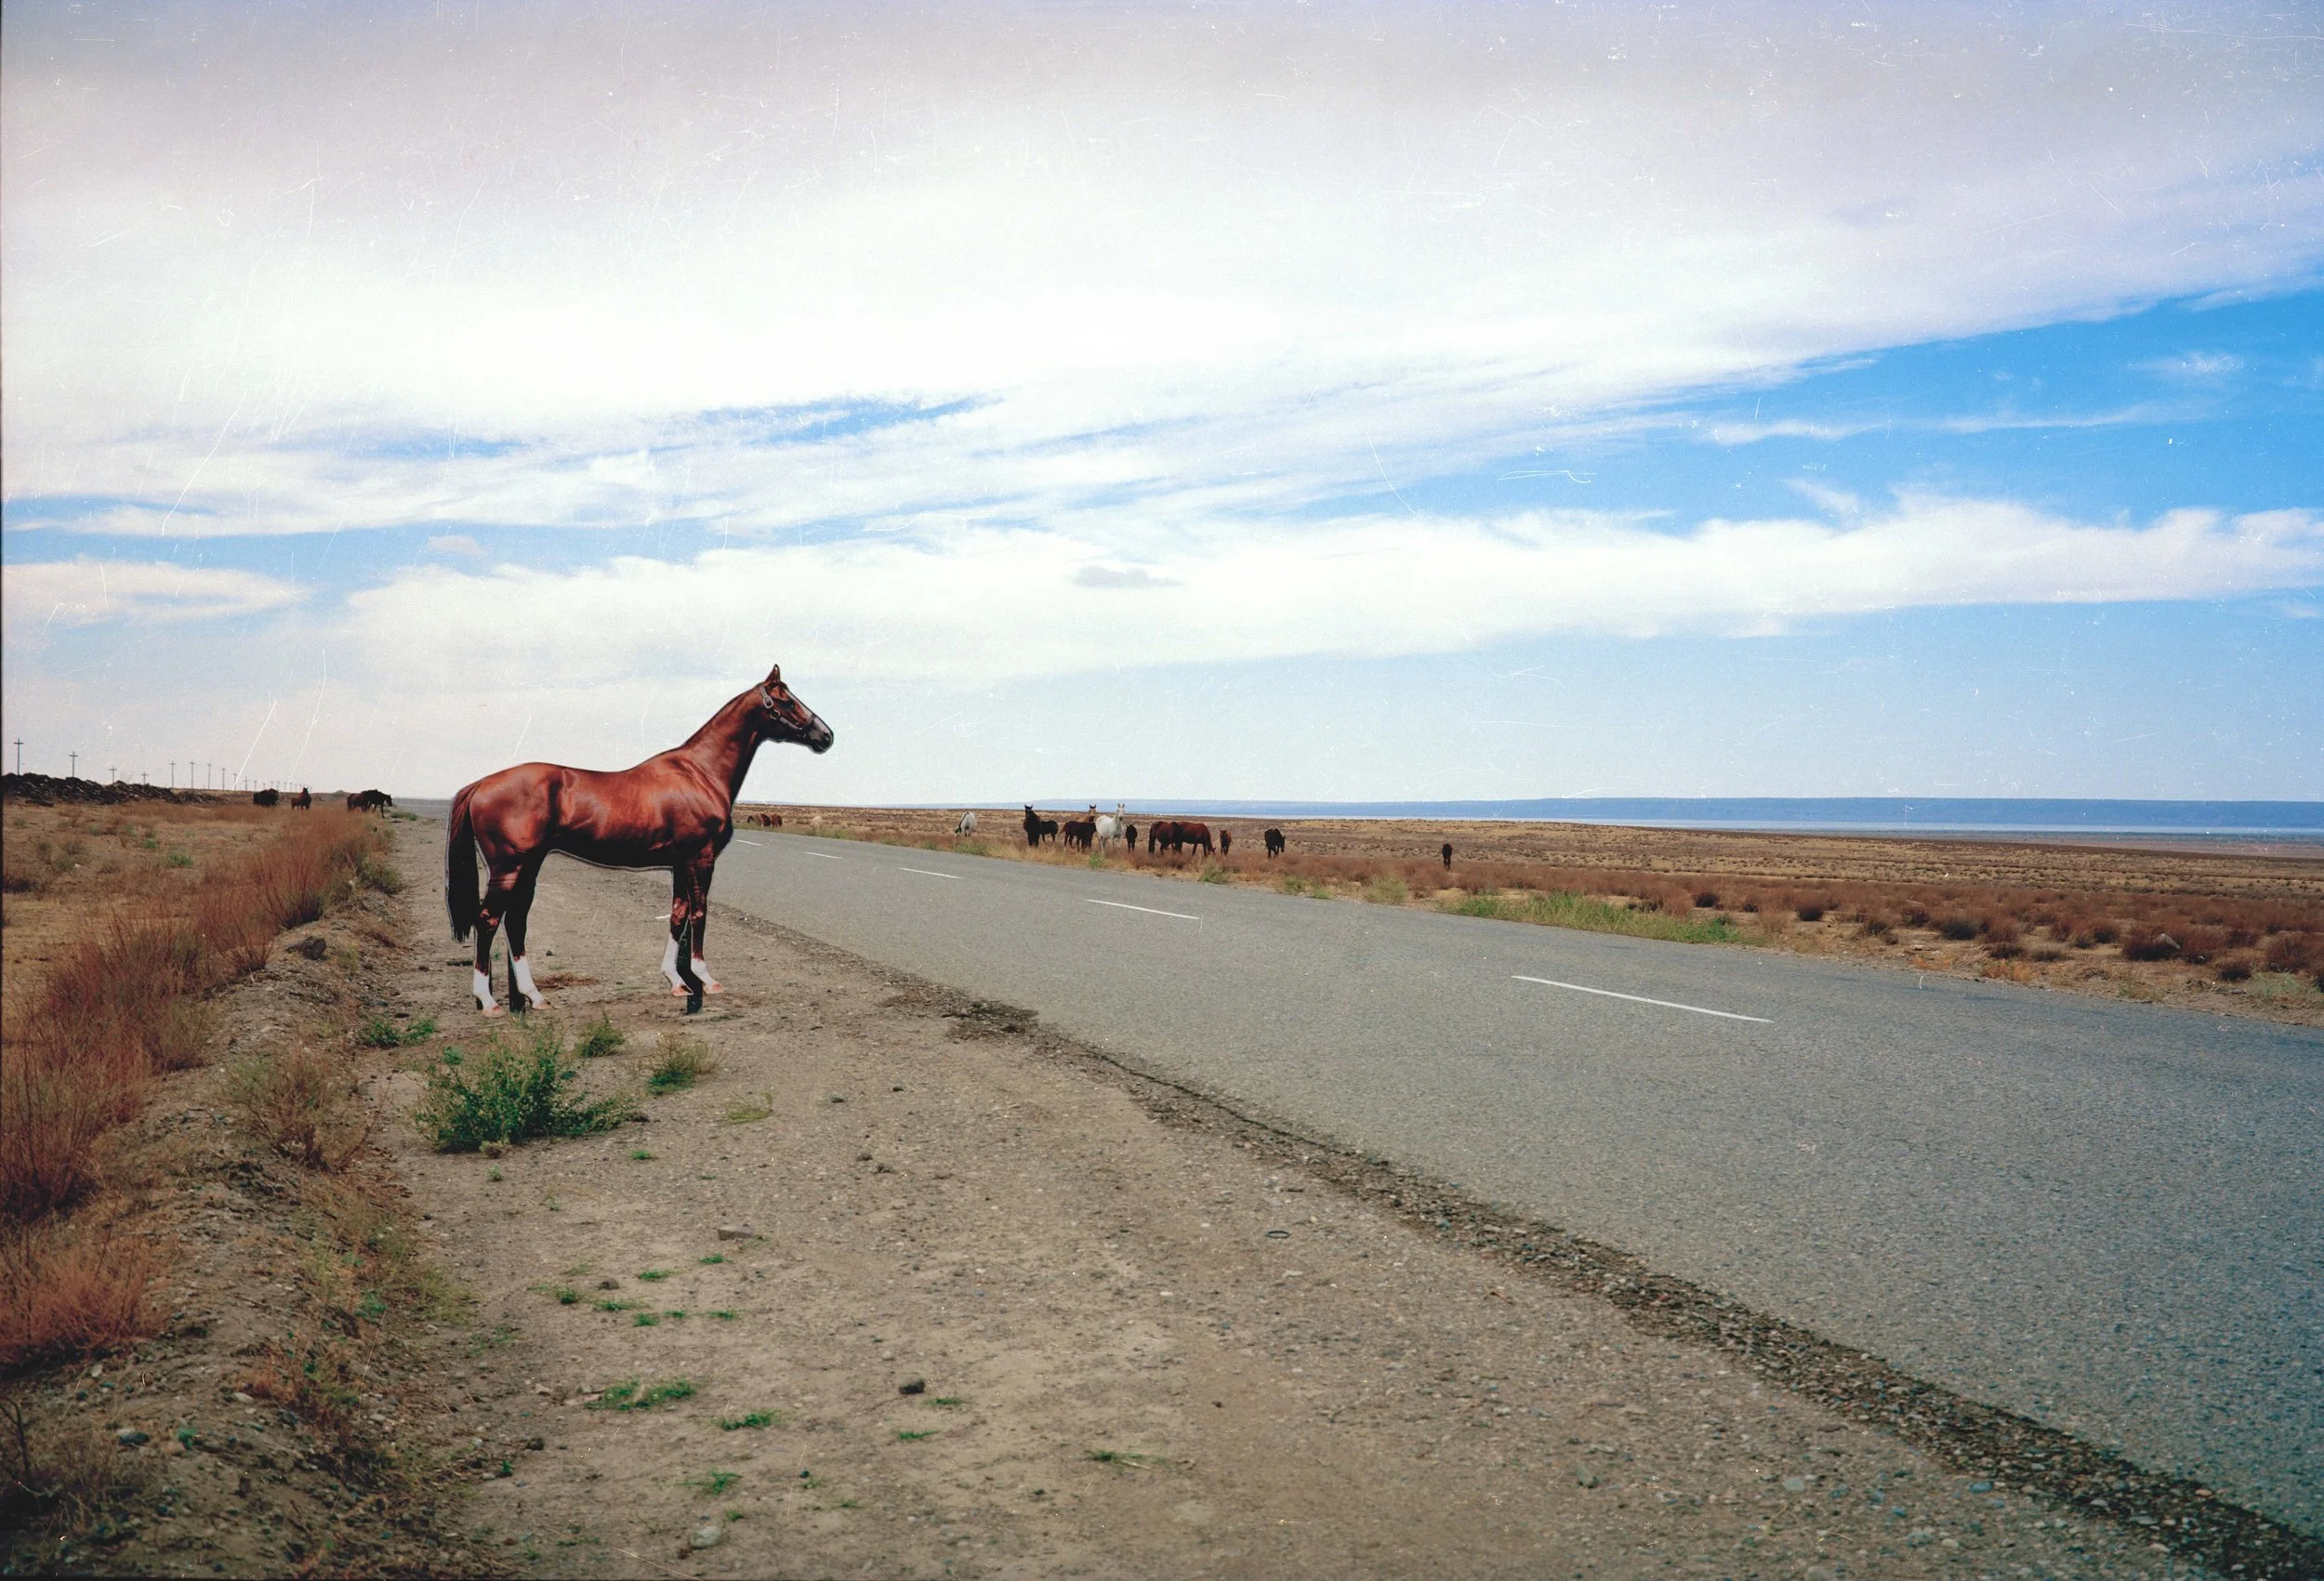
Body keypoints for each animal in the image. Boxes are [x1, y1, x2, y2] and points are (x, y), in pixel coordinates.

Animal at [447, 662, 833, 1017]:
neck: (701, 772)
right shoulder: (701, 858)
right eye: (786, 701)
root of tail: (480, 784)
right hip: (509, 868)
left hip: (527, 867)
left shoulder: (680, 863)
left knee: (515, 922)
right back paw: (489, 1002)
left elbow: (678, 915)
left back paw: (534, 997)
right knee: (488, 921)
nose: (826, 736)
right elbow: (700, 913)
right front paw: (705, 980)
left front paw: (677, 983)